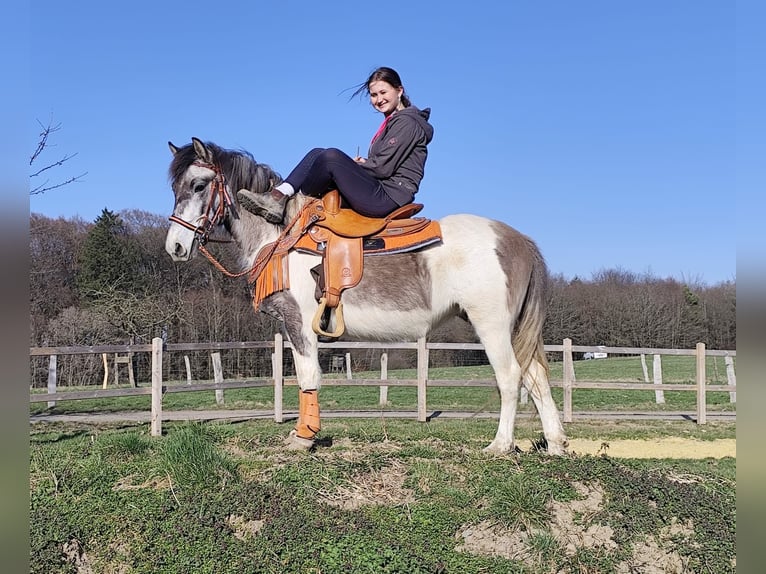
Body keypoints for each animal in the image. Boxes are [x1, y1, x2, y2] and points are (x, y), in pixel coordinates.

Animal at [164, 138, 568, 455]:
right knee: (535, 376)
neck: (280, 237)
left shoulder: (300, 324)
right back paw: (555, 444)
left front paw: (304, 437)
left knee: (511, 376)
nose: (176, 247)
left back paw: (500, 445)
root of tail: (518, 239)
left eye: (198, 185)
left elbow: (308, 376)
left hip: (492, 324)